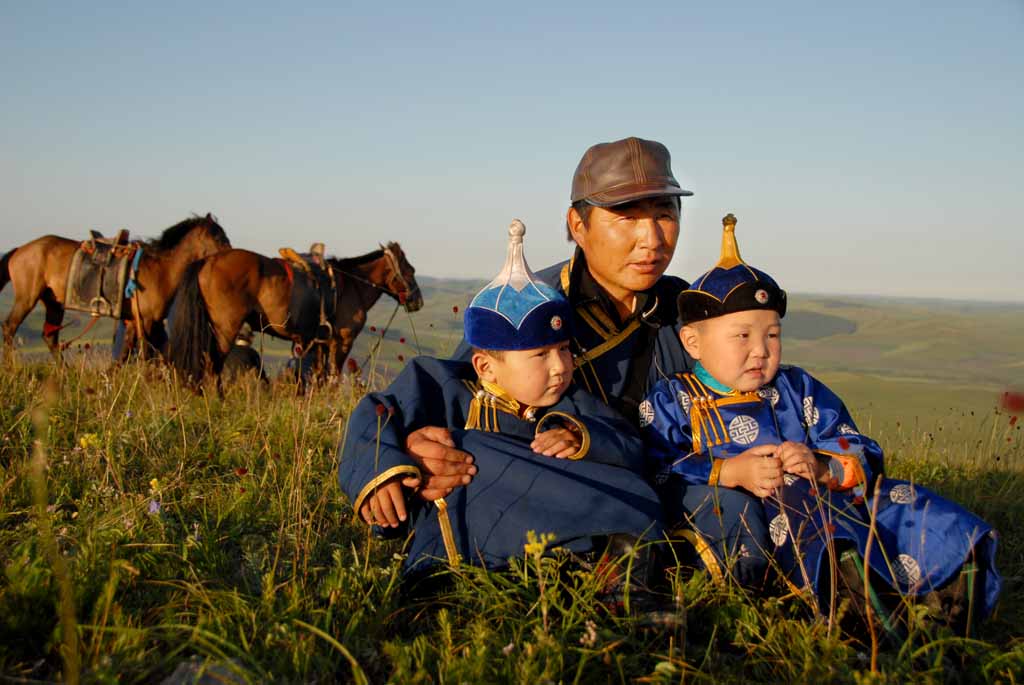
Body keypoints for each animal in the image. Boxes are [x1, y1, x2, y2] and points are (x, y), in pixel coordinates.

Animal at [1, 215, 230, 360]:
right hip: (27, 298)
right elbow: (146, 356)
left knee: (50, 337)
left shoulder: (139, 322)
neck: (161, 270)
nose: (231, 255)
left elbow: (132, 356)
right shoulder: (145, 321)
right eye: (218, 237)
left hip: (53, 303)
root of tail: (20, 250)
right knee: (9, 328)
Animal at [168, 242, 423, 387]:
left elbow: (319, 378)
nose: (417, 300)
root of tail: (207, 261)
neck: (352, 285)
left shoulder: (321, 342)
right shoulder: (341, 341)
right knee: (213, 365)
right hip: (225, 328)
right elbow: (332, 378)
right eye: (410, 270)